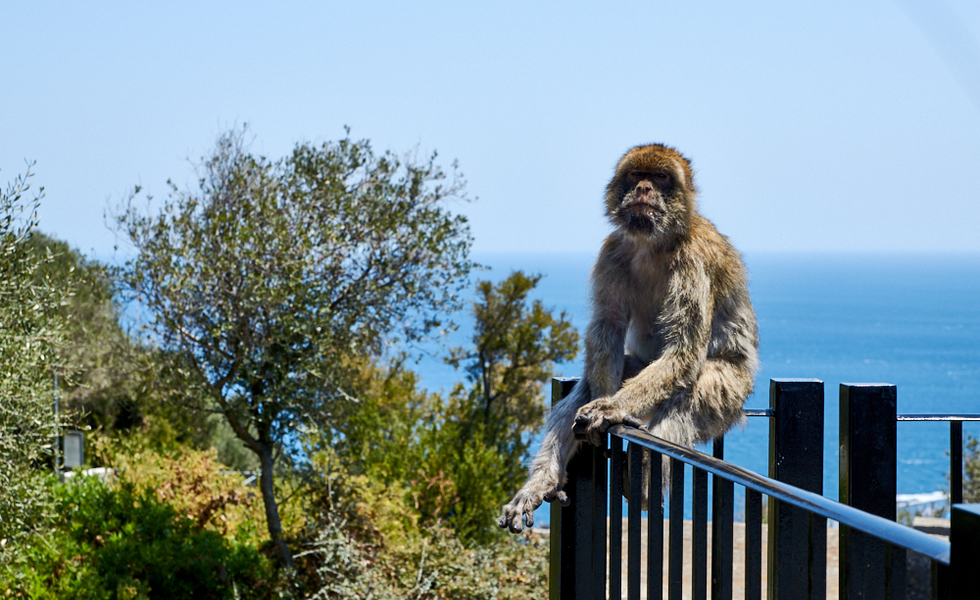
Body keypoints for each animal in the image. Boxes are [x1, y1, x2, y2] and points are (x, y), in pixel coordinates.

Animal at [498, 144, 758, 533]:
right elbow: (608, 325)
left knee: (691, 391)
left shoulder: (693, 260)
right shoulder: (612, 251)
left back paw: (646, 483)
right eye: (637, 175)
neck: (654, 243)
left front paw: (609, 409)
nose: (644, 189)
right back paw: (542, 482)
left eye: (661, 177)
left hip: (733, 387)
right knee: (585, 388)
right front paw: (603, 407)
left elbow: (684, 350)